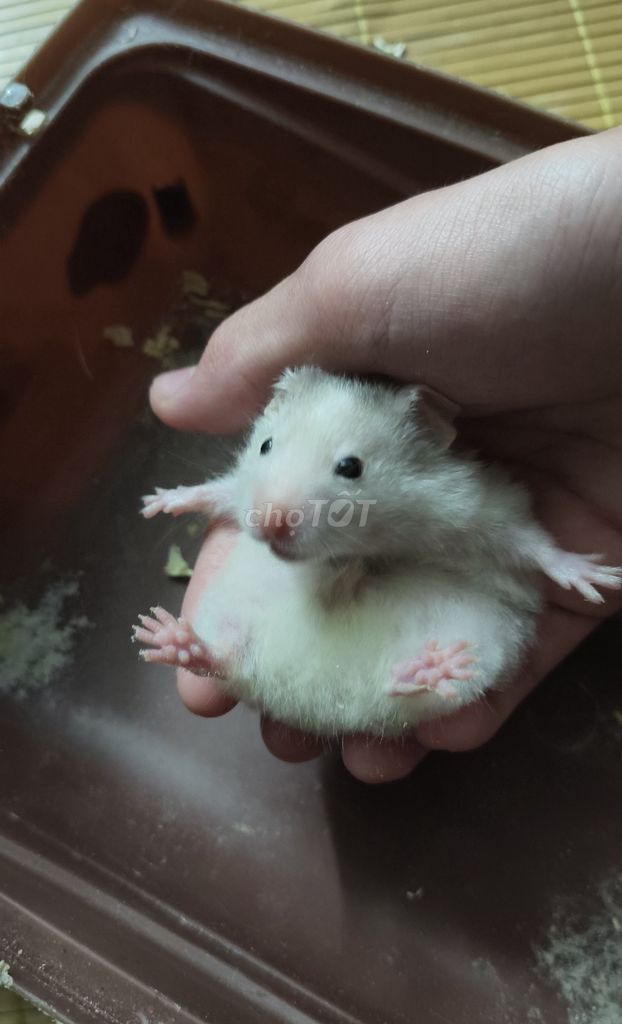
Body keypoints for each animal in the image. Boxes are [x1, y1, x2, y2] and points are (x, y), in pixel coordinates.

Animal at [133, 367, 622, 737]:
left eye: (351, 467)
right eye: (266, 445)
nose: (269, 523)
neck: (374, 540)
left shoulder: (481, 511)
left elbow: (534, 545)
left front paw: (599, 578)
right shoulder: (241, 494)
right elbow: (220, 491)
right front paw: (157, 501)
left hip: (476, 660)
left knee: (393, 686)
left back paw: (430, 664)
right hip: (233, 626)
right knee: (221, 660)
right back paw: (167, 636)